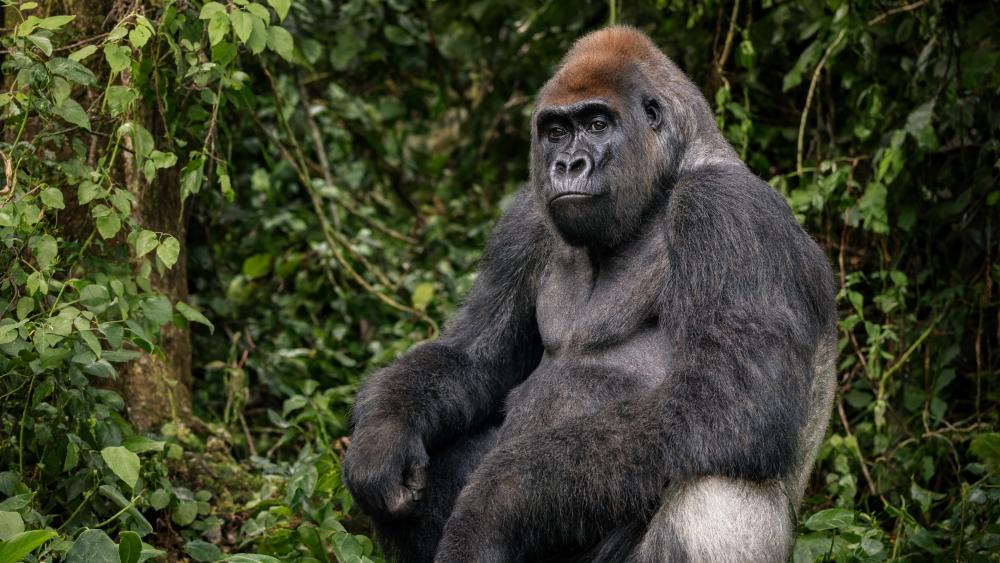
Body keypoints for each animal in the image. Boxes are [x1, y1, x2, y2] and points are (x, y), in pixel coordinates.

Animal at [343, 26, 837, 563]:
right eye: (556, 131)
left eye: (598, 124)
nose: (568, 164)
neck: (666, 180)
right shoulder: (524, 219)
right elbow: (474, 357)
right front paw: (381, 437)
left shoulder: (729, 211)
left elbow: (735, 398)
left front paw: (496, 501)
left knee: (712, 490)